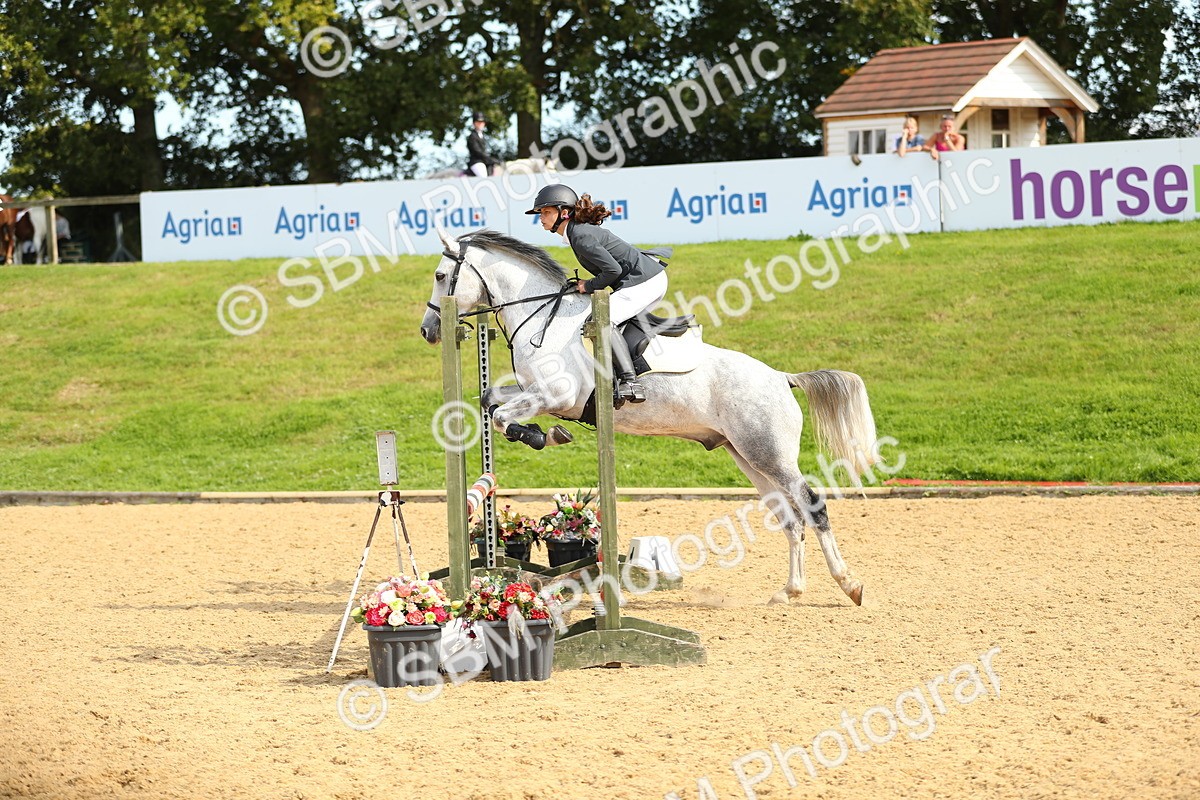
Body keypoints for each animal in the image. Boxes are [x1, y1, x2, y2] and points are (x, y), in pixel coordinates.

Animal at [418, 228, 878, 606]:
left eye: (440, 277)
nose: (428, 330)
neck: (543, 318)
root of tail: (782, 378)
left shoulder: (556, 395)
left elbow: (500, 415)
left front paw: (540, 435)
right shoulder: (537, 395)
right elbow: (490, 401)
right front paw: (538, 432)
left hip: (769, 453)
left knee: (812, 505)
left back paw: (850, 585)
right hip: (748, 456)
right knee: (790, 518)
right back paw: (789, 591)